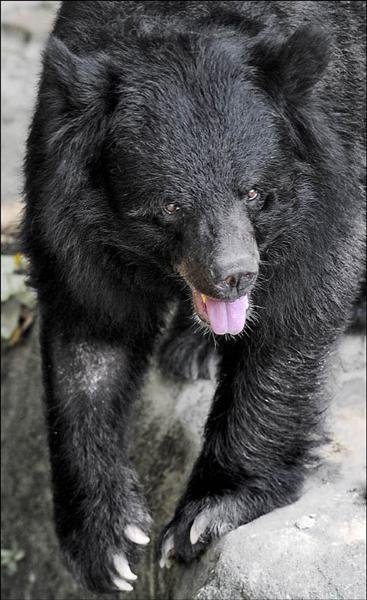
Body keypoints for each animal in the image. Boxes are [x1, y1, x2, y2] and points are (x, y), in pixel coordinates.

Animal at [21, 0, 366, 592]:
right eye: (170, 207)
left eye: (254, 193)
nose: (235, 276)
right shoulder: (63, 195)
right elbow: (90, 331)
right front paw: (108, 543)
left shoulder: (330, 151)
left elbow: (300, 301)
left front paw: (206, 515)